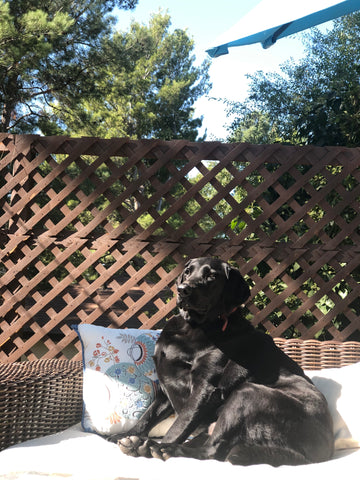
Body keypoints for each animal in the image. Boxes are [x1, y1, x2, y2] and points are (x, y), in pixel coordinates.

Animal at [110, 258, 334, 464]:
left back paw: (161, 448)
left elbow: (181, 423)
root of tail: (322, 453)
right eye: (187, 272)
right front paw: (125, 436)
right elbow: (147, 417)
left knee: (212, 452)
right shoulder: (167, 387)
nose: (183, 290)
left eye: (211, 276)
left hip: (247, 394)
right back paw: (137, 444)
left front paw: (157, 445)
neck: (193, 327)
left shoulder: (205, 387)